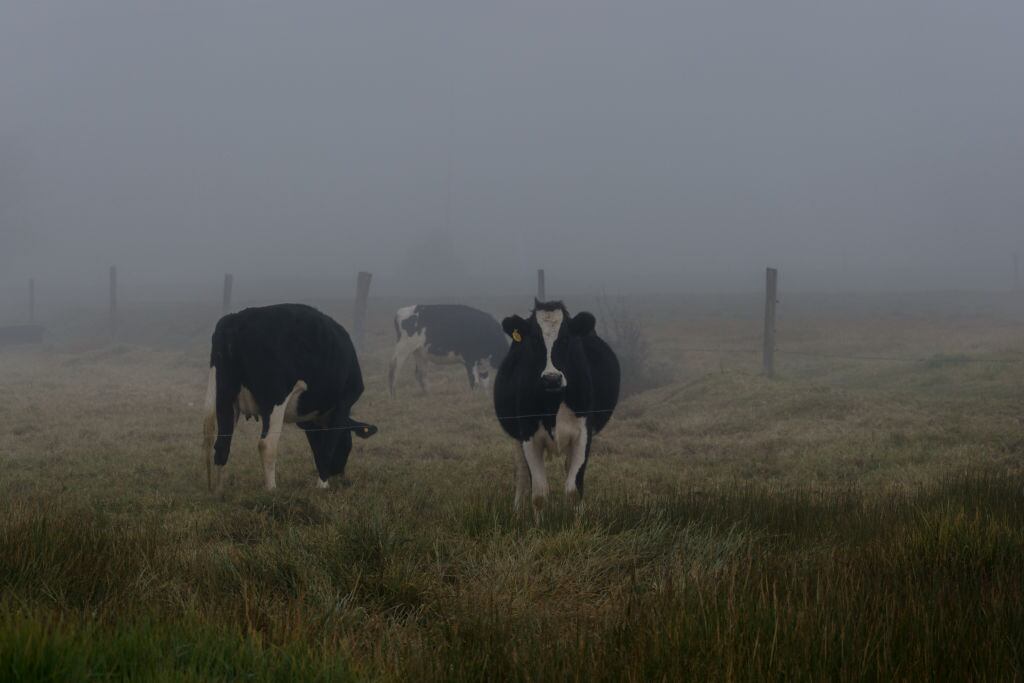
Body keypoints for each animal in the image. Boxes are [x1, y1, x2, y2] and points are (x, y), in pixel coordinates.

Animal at [202, 303, 378, 493]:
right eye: (347, 442)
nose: (338, 473)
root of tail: (235, 320)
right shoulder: (343, 403)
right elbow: (328, 446)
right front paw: (323, 484)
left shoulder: (308, 419)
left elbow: (318, 449)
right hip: (275, 400)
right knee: (266, 444)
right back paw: (271, 490)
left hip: (224, 398)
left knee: (221, 444)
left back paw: (219, 491)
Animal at [493, 299, 620, 516]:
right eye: (535, 339)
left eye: (566, 338)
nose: (552, 378)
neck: (553, 403)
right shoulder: (528, 435)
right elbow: (539, 494)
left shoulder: (583, 433)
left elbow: (573, 489)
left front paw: (578, 521)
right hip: (516, 437)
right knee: (522, 473)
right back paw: (517, 512)